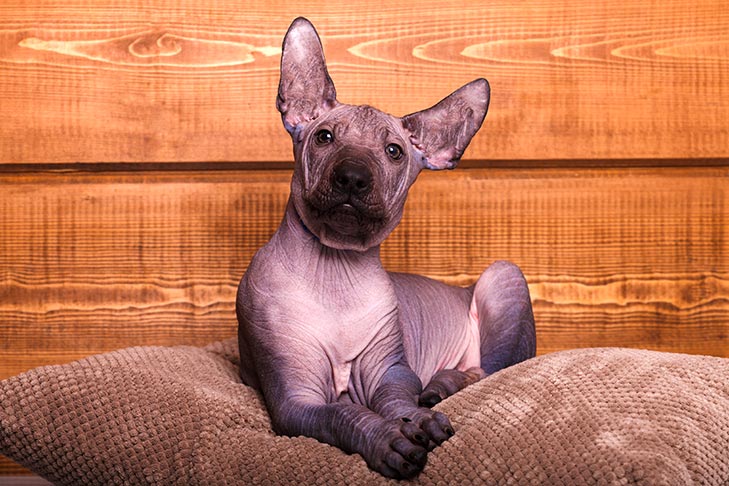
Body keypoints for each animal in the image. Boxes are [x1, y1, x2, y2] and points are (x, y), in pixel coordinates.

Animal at [237, 19, 536, 478]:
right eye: (324, 137)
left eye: (394, 151)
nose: (353, 177)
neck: (335, 266)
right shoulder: (295, 401)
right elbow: (345, 414)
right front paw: (386, 439)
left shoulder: (391, 372)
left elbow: (397, 401)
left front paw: (418, 421)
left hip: (503, 273)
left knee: (487, 369)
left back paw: (439, 388)